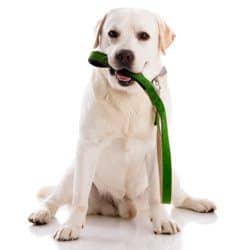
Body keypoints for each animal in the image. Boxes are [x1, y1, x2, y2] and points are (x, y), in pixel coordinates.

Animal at [27, 8, 217, 241]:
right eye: (112, 33)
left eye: (144, 36)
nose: (124, 54)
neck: (128, 98)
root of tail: (124, 207)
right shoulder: (87, 147)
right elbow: (79, 198)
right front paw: (71, 226)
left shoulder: (157, 148)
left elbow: (157, 196)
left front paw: (162, 221)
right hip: (72, 173)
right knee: (56, 198)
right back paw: (42, 213)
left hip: (171, 174)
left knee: (179, 198)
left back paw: (200, 203)